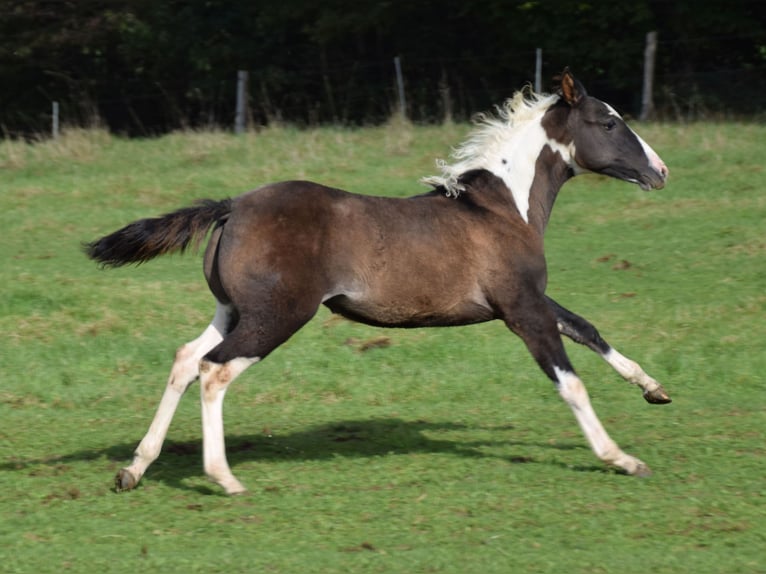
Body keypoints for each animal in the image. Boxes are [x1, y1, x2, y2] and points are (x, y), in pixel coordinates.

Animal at [85, 68, 672, 496]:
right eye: (608, 123)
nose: (661, 172)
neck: (503, 207)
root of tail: (232, 206)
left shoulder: (529, 300)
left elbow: (587, 328)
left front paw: (655, 389)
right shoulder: (520, 309)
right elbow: (569, 380)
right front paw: (622, 458)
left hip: (234, 311)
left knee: (186, 359)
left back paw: (134, 469)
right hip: (278, 316)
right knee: (213, 369)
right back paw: (224, 478)